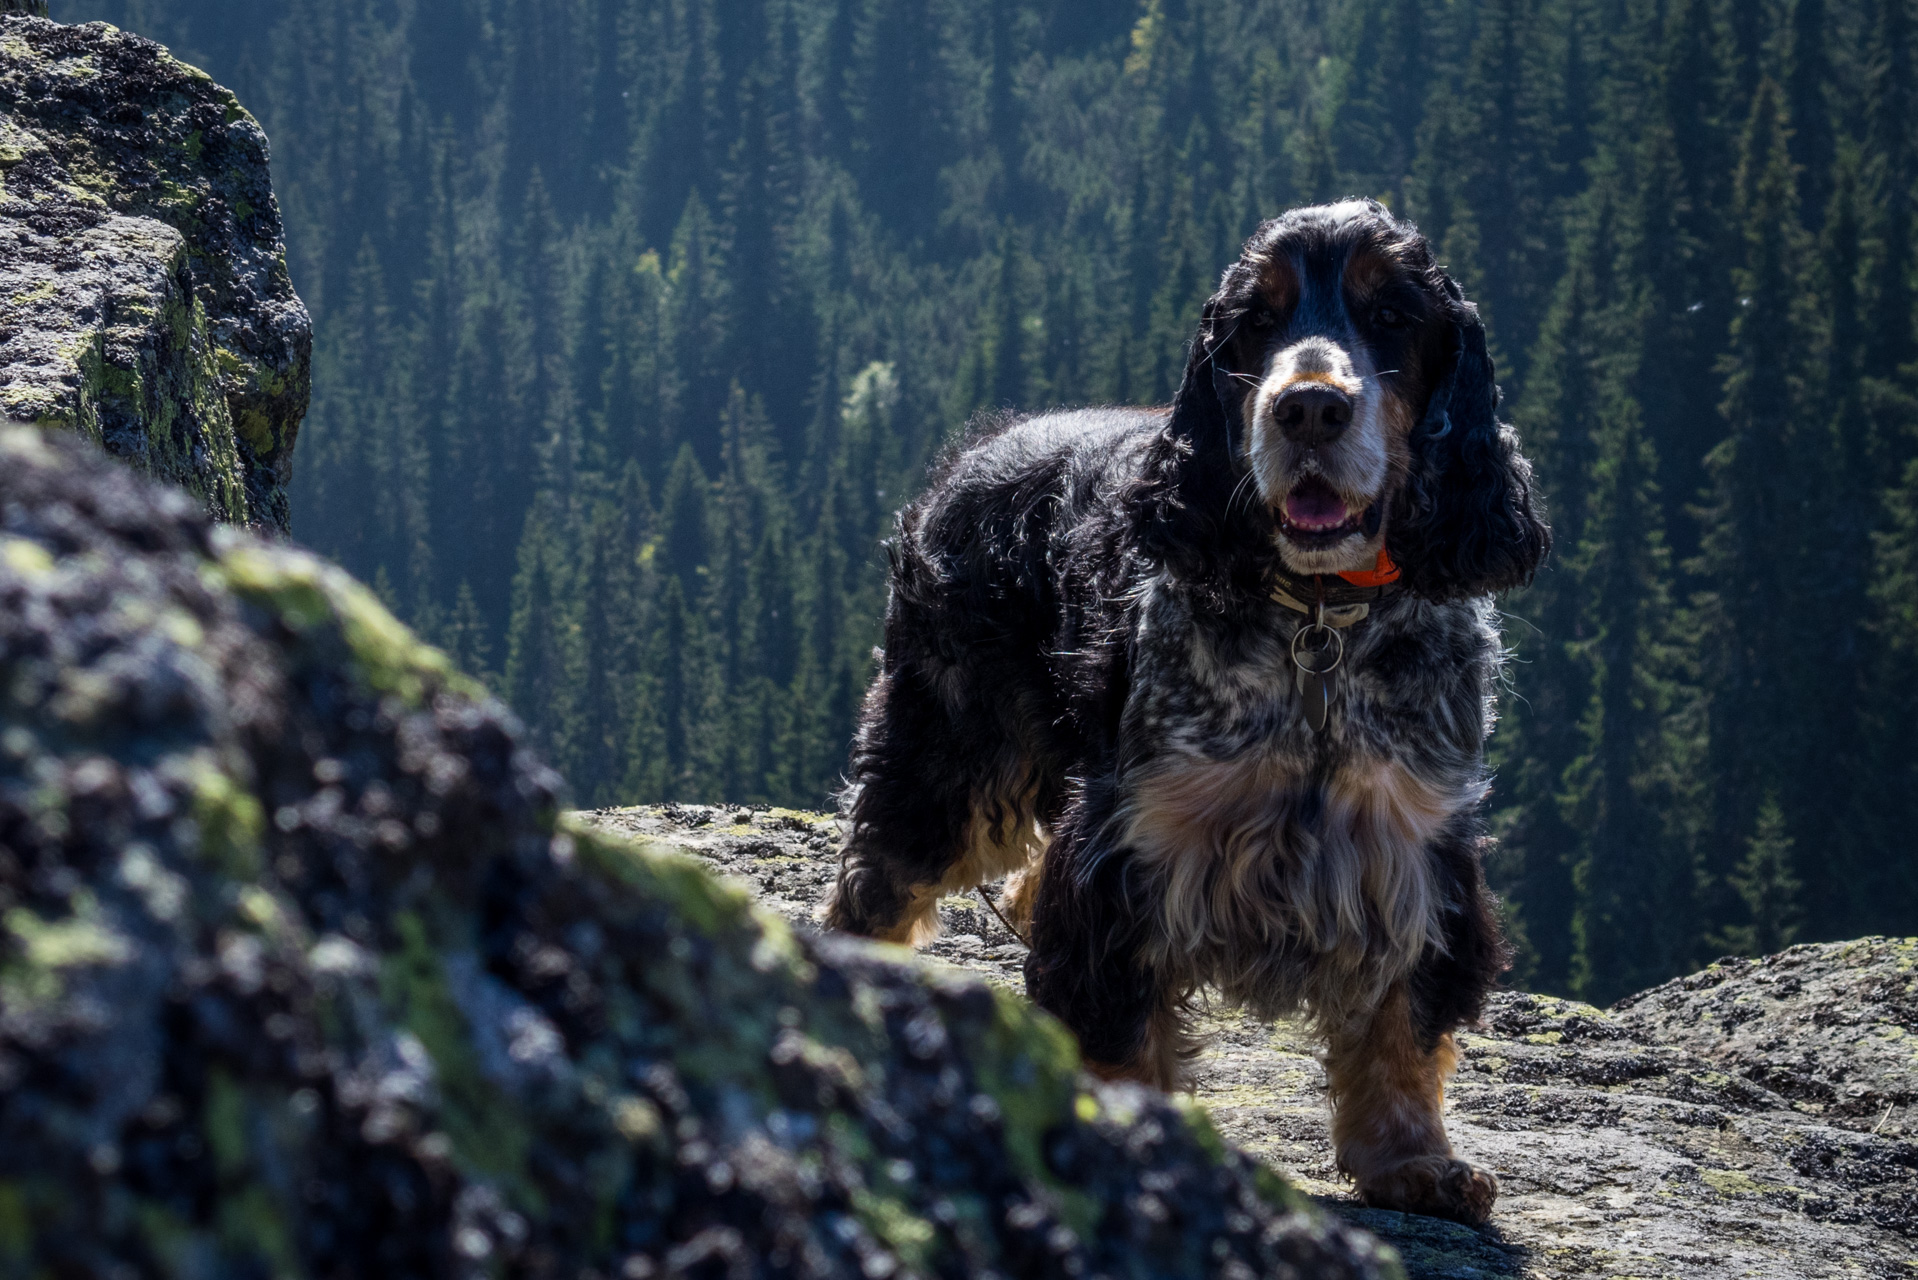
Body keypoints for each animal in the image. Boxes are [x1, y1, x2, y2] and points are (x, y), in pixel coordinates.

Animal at [820, 197, 1542, 1220]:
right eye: (1256, 324)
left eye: (1393, 316)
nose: (1309, 406)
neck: (1316, 620)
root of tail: (978, 447)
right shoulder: (1135, 847)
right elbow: (1114, 1017)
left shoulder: (1418, 850)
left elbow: (1405, 1021)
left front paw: (1415, 1160)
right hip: (948, 755)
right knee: (878, 883)